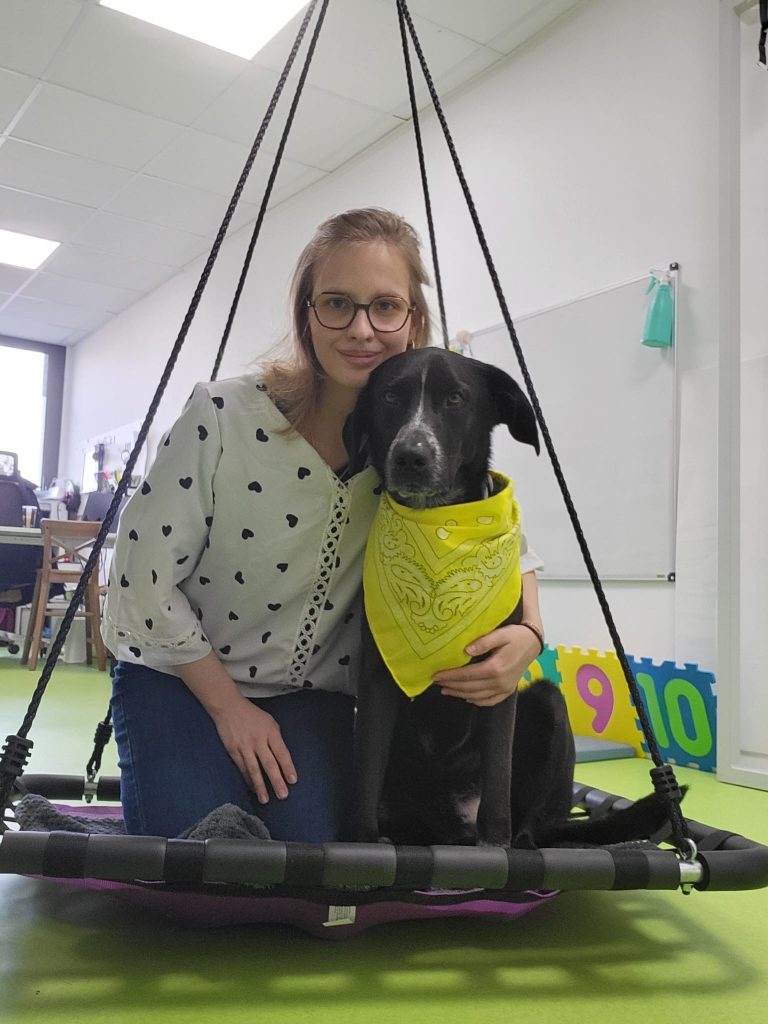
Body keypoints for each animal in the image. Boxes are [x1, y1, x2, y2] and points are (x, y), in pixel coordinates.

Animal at [344, 347, 678, 848]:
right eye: (389, 397)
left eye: (456, 398)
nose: (410, 456)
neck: (441, 526)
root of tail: (451, 825)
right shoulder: (378, 679)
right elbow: (364, 776)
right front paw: (361, 841)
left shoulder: (497, 680)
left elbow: (498, 778)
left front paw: (494, 847)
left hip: (546, 704)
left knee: (530, 828)